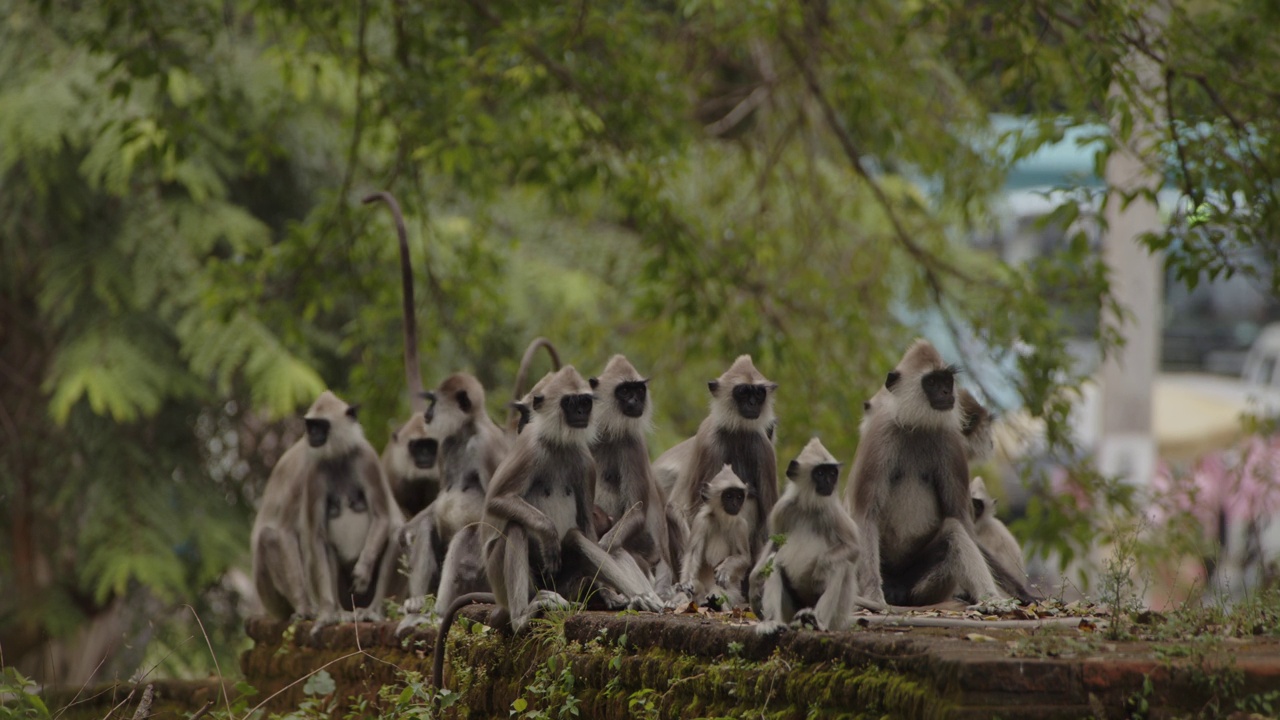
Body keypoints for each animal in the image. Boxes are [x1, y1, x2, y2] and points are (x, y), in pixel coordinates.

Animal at [481, 366, 660, 630]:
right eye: (570, 402)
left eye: (585, 402)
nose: (581, 412)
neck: (559, 444)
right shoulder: (529, 448)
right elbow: (496, 500)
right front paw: (548, 533)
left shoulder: (585, 463)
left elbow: (586, 525)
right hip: (505, 583)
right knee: (516, 526)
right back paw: (522, 617)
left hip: (564, 585)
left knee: (577, 537)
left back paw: (636, 597)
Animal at [670, 356, 778, 550]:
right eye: (742, 392)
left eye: (759, 393)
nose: (752, 403)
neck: (737, 432)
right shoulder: (709, 446)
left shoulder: (763, 447)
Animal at [670, 466, 747, 604]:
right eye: (728, 496)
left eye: (739, 497)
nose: (735, 505)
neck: (721, 521)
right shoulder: (701, 520)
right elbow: (692, 554)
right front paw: (684, 584)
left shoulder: (741, 525)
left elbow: (744, 557)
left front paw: (725, 568)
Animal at [747, 438, 885, 627]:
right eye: (820, 473)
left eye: (832, 473)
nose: (829, 482)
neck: (809, 507)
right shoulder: (782, 509)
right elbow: (775, 544)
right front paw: (754, 584)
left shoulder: (833, 512)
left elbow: (853, 548)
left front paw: (821, 567)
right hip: (791, 611)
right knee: (773, 562)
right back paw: (773, 623)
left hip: (837, 615)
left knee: (840, 565)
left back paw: (816, 621)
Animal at [849, 338, 1029, 602]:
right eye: (932, 382)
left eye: (946, 381)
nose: (946, 393)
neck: (918, 426)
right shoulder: (880, 437)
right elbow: (865, 515)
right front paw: (873, 594)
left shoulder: (950, 442)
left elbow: (960, 520)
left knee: (954, 531)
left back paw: (989, 598)